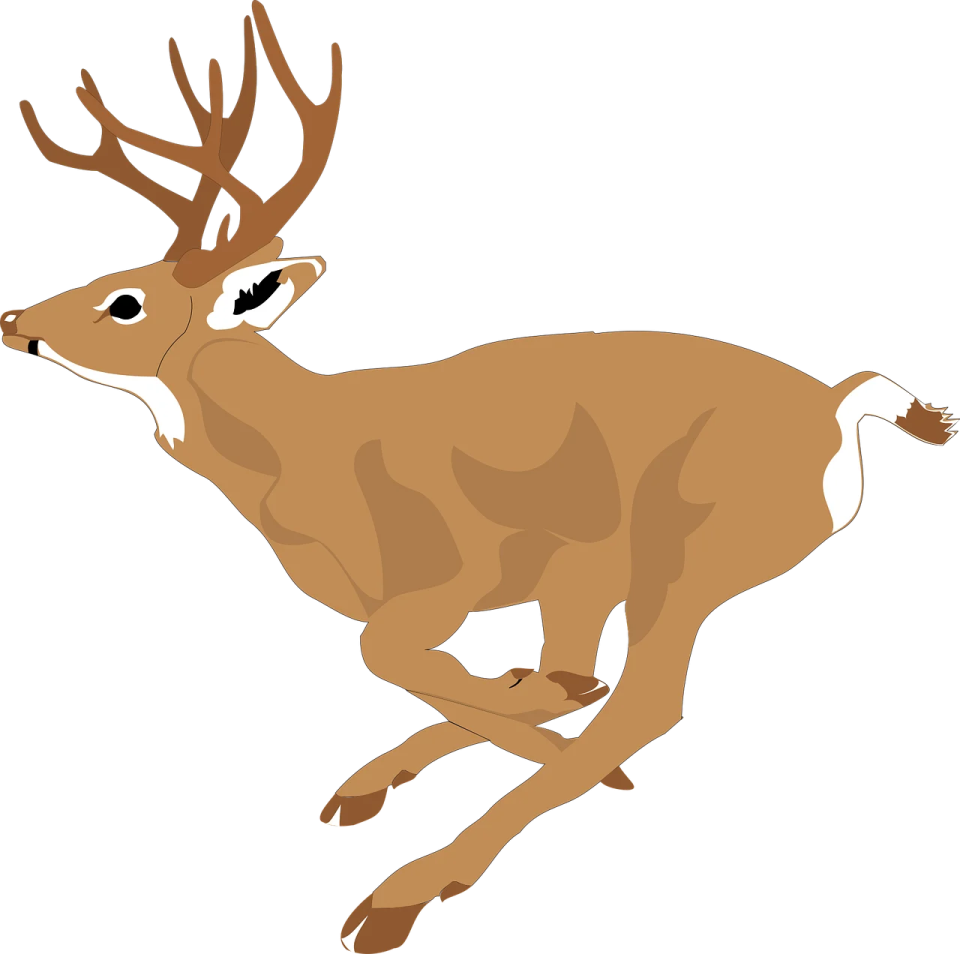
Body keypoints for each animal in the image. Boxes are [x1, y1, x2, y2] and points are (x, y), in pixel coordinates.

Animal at [1, 4, 955, 952]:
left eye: (126, 302)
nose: (13, 318)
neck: (298, 453)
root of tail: (834, 409)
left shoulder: (453, 569)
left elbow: (388, 653)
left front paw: (510, 744)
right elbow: (472, 677)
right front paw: (476, 724)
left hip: (685, 547)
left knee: (644, 702)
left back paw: (400, 895)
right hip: (594, 568)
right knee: (582, 677)